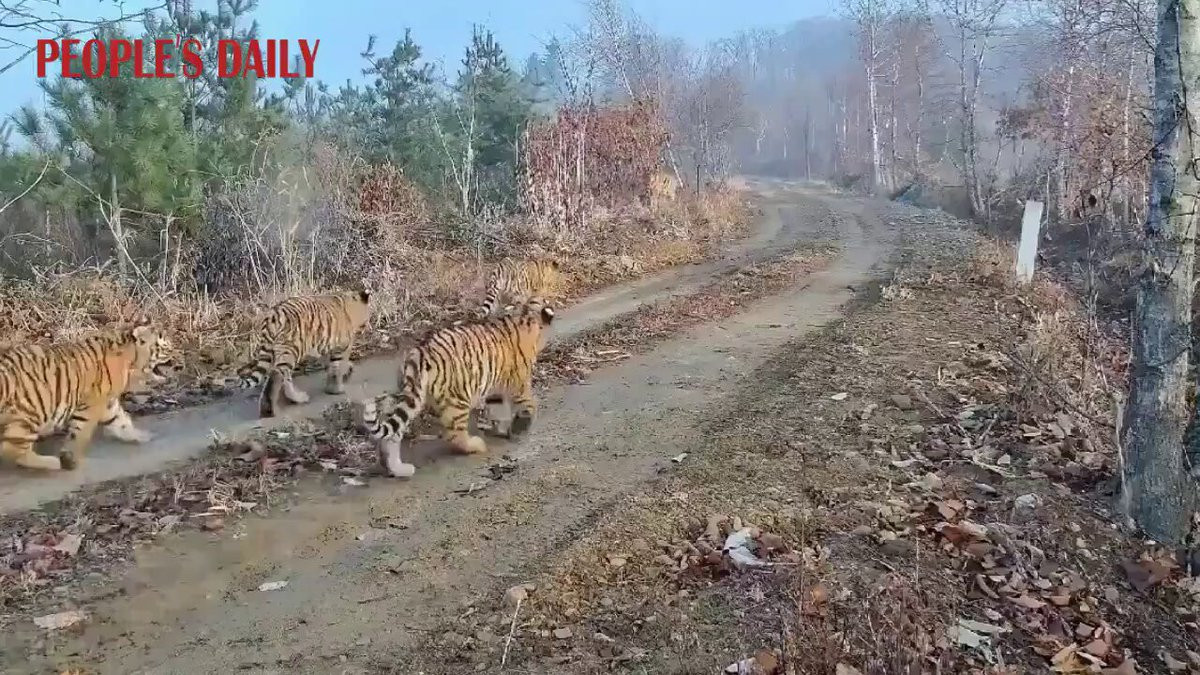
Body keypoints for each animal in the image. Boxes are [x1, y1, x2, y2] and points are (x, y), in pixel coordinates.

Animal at [0, 321, 177, 471]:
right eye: (168, 348)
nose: (179, 363)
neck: (130, 360)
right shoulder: (92, 403)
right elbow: (81, 433)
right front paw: (70, 458)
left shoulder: (108, 403)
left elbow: (121, 422)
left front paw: (141, 436)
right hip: (32, 413)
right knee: (11, 450)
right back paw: (54, 463)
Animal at [238, 289, 370, 418]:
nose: (366, 326)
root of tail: (272, 316)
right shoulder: (342, 347)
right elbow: (337, 368)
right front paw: (337, 389)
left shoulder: (326, 347)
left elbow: (330, 366)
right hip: (291, 350)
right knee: (279, 376)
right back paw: (289, 402)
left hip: (273, 352)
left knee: (277, 376)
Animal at [353, 298, 556, 478]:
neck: (528, 319)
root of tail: (420, 353)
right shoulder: (519, 383)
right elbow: (529, 404)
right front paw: (522, 426)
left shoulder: (496, 388)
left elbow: (497, 409)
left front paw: (502, 429)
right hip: (458, 400)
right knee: (454, 436)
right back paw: (476, 445)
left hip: (410, 398)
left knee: (392, 435)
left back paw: (398, 469)